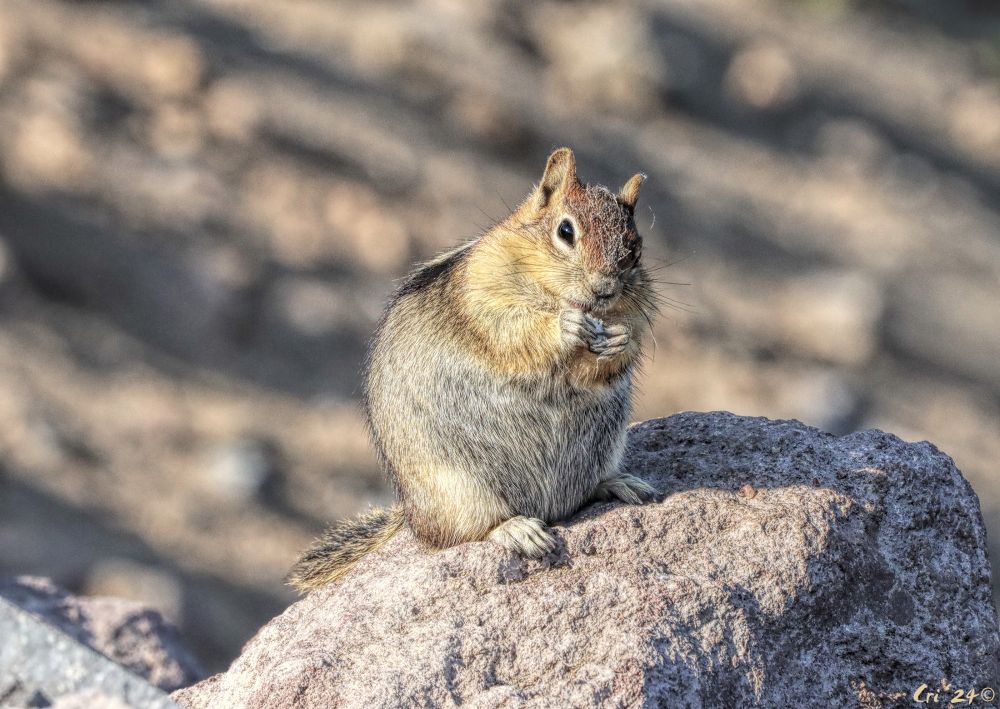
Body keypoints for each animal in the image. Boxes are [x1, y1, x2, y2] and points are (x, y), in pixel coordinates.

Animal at [288, 147, 658, 592]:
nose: (605, 289)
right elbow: (512, 331)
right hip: (458, 491)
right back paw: (519, 530)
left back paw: (620, 484)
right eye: (566, 231)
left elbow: (618, 350)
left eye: (636, 249)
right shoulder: (484, 295)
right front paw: (563, 326)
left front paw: (619, 338)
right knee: (465, 532)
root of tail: (411, 515)